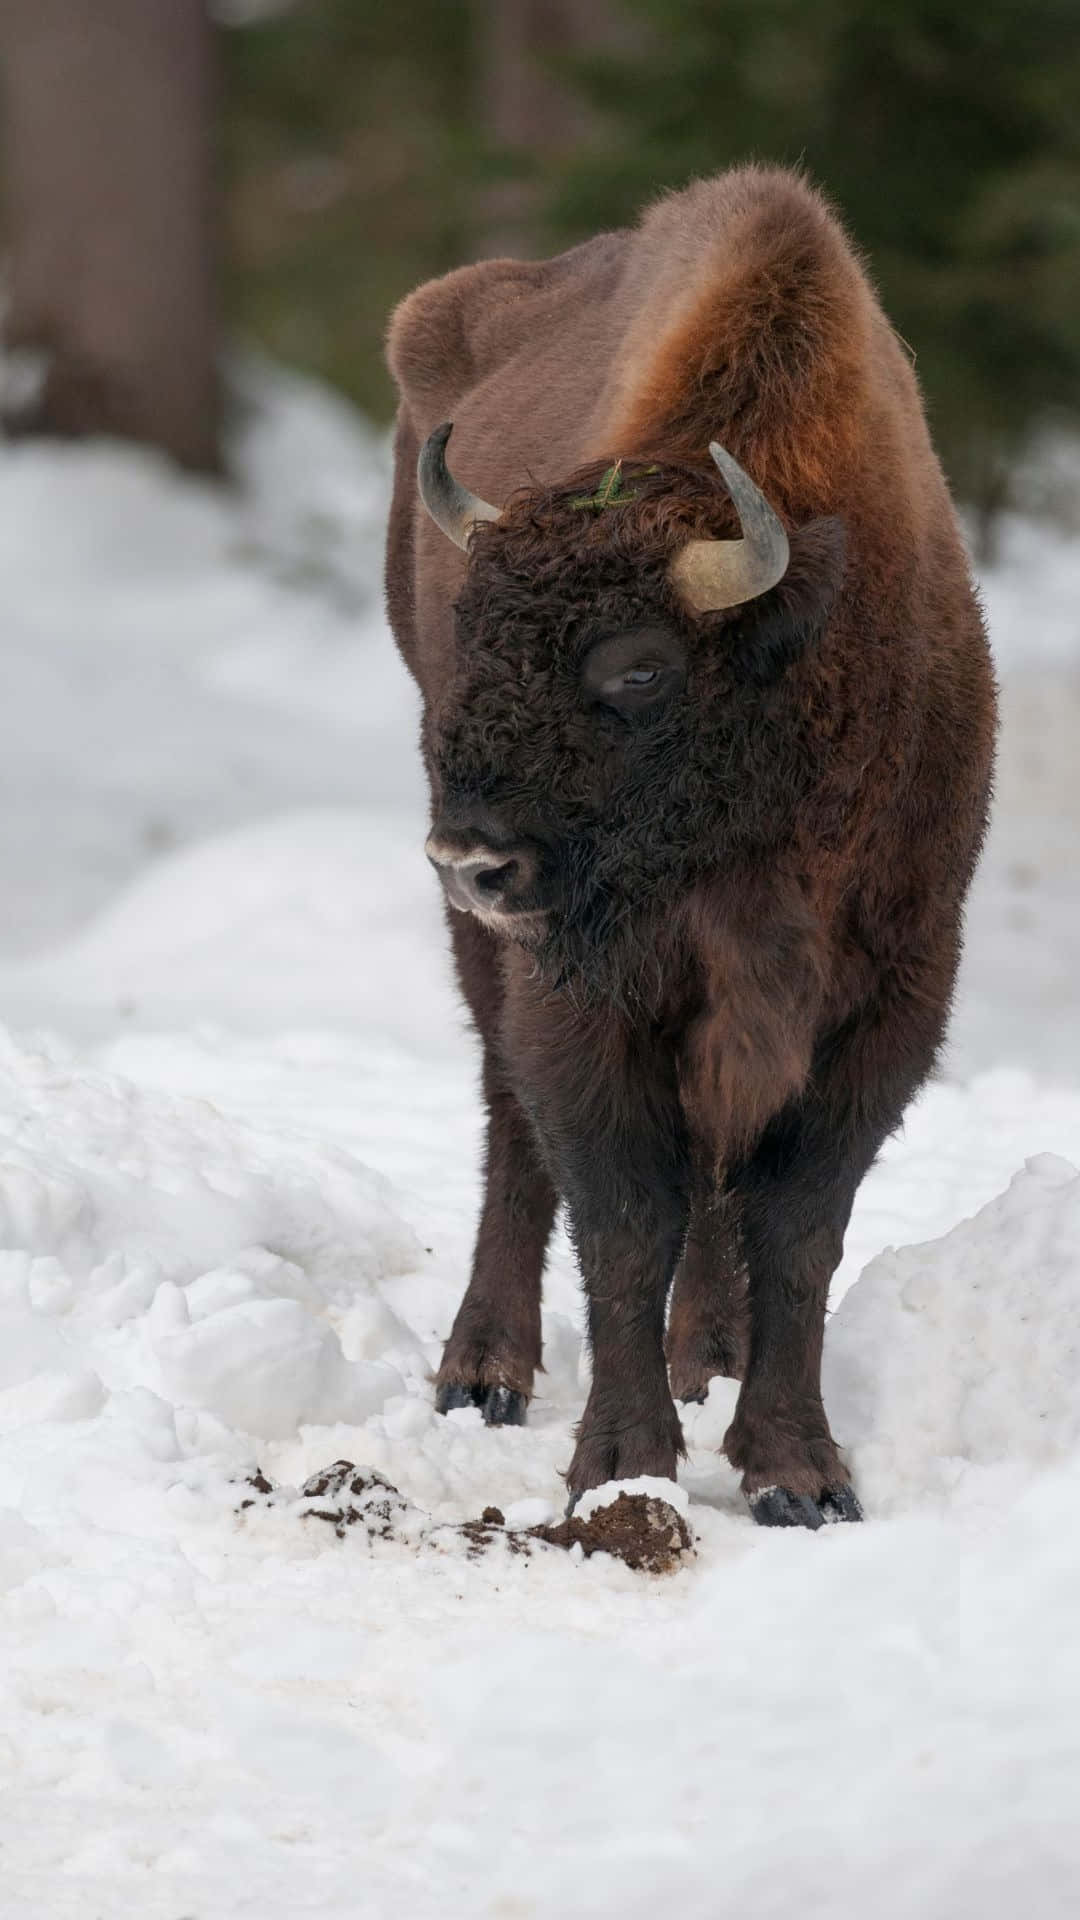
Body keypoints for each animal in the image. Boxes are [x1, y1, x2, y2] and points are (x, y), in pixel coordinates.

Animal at [384, 165, 991, 1528]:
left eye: (639, 669)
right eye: (475, 634)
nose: (472, 860)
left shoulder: (892, 993)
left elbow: (797, 1227)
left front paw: (799, 1475)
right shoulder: (589, 997)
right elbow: (622, 1216)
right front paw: (621, 1465)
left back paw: (704, 1355)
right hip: (495, 962)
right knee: (511, 1126)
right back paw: (485, 1370)